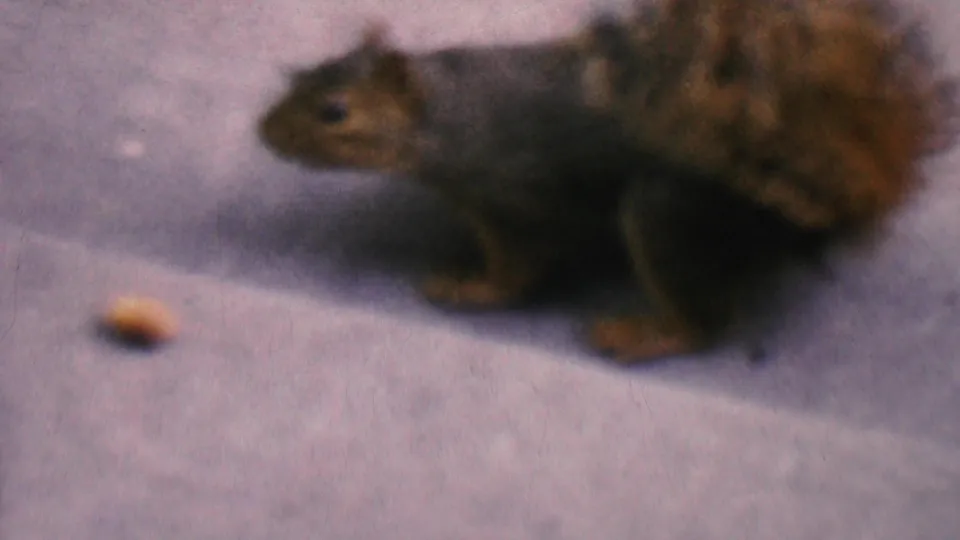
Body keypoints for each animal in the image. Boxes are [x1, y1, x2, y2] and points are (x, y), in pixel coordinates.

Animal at [257, 0, 957, 364]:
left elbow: (519, 265)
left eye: (335, 112)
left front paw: (471, 287)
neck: (450, 110)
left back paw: (642, 333)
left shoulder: (517, 195)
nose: (264, 132)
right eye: (302, 75)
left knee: (709, 322)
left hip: (668, 216)